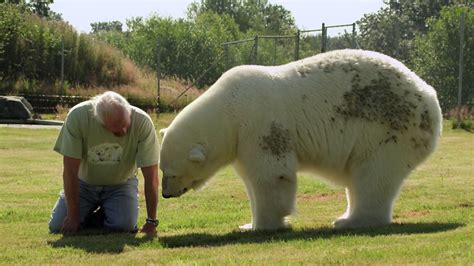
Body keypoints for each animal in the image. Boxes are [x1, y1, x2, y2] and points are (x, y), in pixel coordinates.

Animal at [161, 50, 442, 231]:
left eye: (172, 173)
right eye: (162, 170)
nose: (165, 194)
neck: (229, 108)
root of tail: (429, 94)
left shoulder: (259, 125)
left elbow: (271, 176)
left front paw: (265, 226)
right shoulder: (242, 141)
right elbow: (251, 179)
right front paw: (248, 224)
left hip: (387, 130)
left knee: (373, 175)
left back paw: (351, 221)